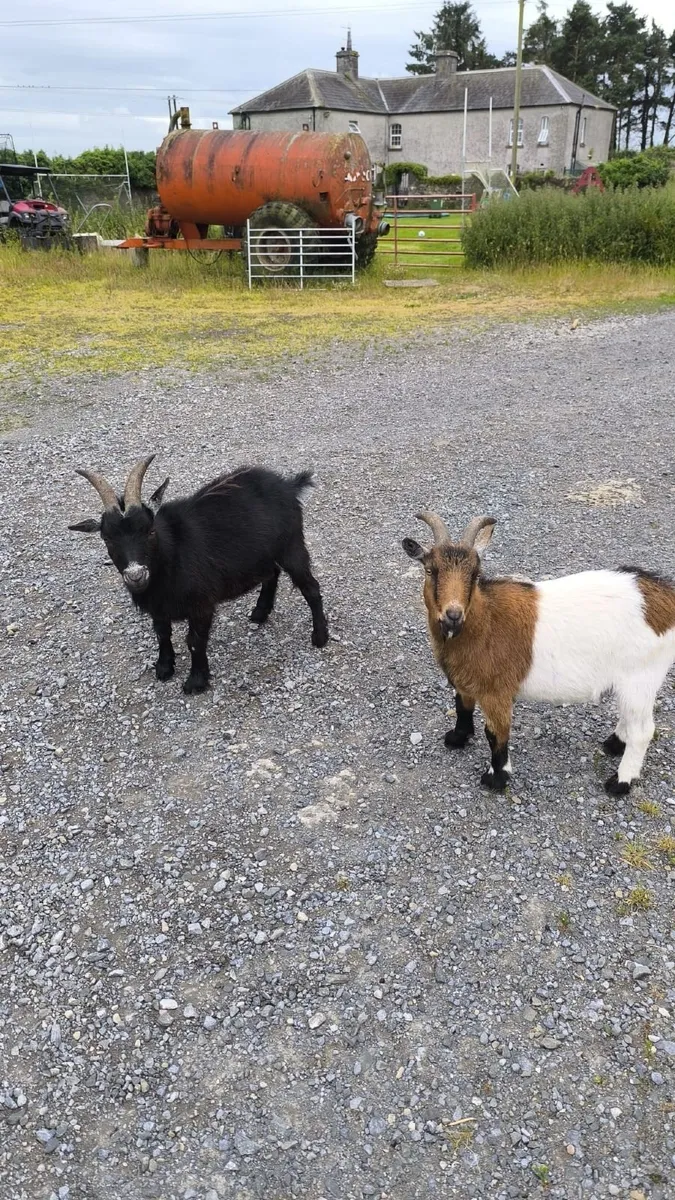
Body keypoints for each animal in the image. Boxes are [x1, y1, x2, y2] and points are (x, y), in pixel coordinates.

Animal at [70, 456, 329, 692]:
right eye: (107, 538)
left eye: (150, 531)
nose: (136, 576)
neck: (171, 554)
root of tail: (288, 485)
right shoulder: (158, 607)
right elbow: (162, 633)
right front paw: (164, 668)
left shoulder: (201, 604)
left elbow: (194, 641)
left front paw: (196, 681)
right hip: (263, 554)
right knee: (272, 573)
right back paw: (260, 613)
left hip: (291, 545)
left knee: (310, 587)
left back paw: (320, 637)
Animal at [403, 511, 675, 795]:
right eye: (430, 570)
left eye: (476, 574)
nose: (453, 615)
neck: (483, 619)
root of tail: (666, 596)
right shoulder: (467, 681)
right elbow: (462, 706)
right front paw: (457, 738)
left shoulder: (496, 692)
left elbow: (495, 733)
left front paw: (496, 778)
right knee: (630, 717)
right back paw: (614, 743)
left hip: (641, 675)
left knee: (643, 730)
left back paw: (620, 782)